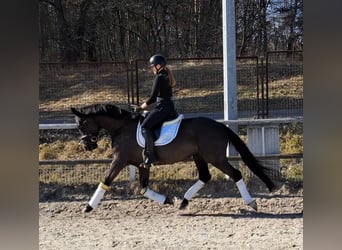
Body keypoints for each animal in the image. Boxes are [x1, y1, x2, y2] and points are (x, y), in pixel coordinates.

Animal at [70, 102, 276, 212]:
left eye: (81, 125)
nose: (87, 146)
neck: (121, 127)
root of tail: (219, 125)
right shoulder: (142, 165)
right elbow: (143, 189)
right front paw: (168, 200)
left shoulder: (120, 160)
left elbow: (106, 181)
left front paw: (88, 207)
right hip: (199, 156)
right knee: (205, 176)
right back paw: (183, 202)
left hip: (215, 157)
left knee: (235, 174)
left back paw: (251, 203)